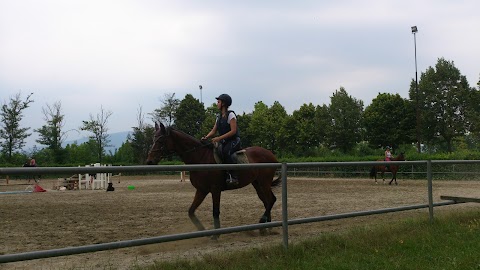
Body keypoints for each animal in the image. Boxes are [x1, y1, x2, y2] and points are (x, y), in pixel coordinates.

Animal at [146, 122, 282, 238]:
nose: (149, 161)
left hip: (264, 183)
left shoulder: (215, 189)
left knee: (271, 200)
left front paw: (216, 235)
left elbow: (215, 211)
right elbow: (191, 211)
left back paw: (262, 225)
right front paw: (203, 231)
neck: (200, 158)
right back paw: (267, 228)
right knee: (266, 201)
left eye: (160, 140)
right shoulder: (201, 190)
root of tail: (271, 154)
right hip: (257, 184)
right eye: (153, 139)